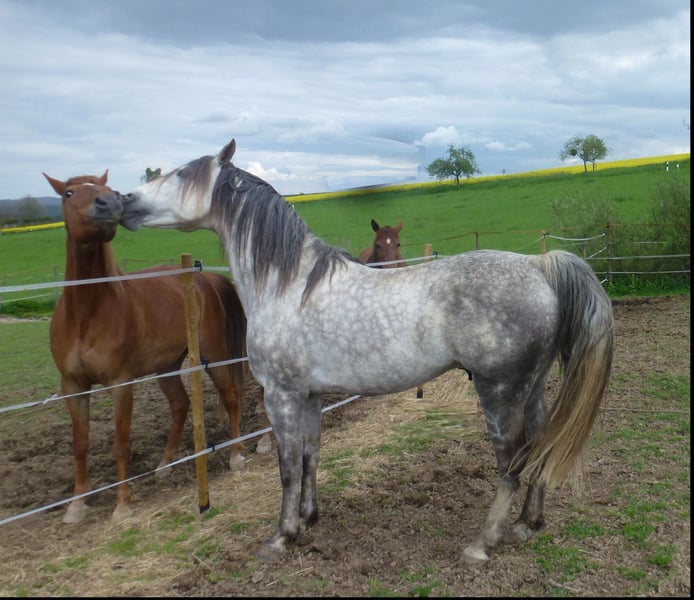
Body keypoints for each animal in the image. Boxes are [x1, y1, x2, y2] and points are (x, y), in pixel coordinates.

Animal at [43, 170, 270, 525]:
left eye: (107, 188)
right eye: (68, 193)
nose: (110, 203)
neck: (87, 311)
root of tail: (206, 279)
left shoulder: (121, 383)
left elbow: (121, 442)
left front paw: (122, 504)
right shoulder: (73, 385)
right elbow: (79, 443)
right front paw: (77, 505)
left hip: (214, 355)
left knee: (231, 397)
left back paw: (236, 454)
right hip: (166, 367)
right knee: (180, 405)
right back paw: (165, 464)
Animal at [120, 139, 614, 564]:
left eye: (183, 173)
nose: (123, 202)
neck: (288, 285)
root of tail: (539, 266)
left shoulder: (280, 396)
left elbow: (286, 468)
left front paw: (280, 537)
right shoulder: (310, 396)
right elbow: (311, 456)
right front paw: (308, 519)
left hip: (500, 391)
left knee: (511, 462)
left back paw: (482, 541)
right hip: (531, 388)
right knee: (540, 446)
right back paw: (528, 524)